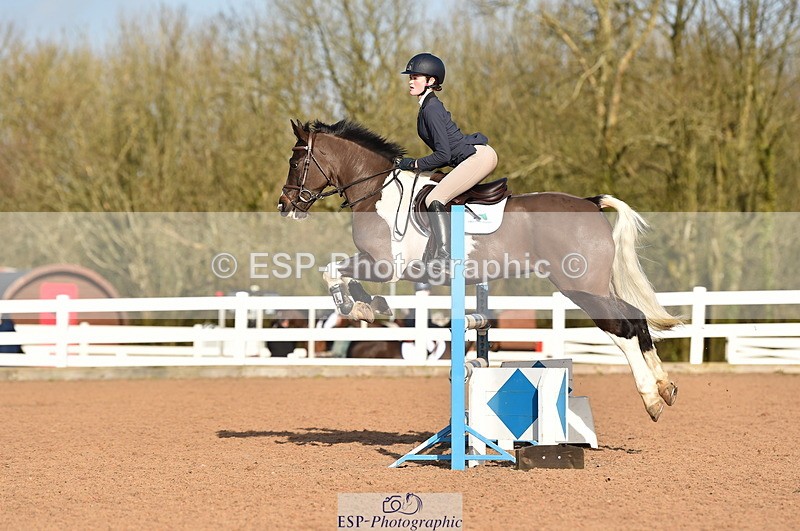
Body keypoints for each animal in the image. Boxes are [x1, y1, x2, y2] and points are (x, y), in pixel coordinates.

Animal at [277, 119, 681, 422]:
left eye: (296, 162)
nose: (285, 204)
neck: (376, 190)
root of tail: (589, 203)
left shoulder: (384, 265)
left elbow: (332, 271)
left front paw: (356, 306)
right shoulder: (376, 264)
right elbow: (340, 272)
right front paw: (369, 305)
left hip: (579, 287)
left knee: (622, 328)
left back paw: (651, 399)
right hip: (597, 286)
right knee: (637, 319)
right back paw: (665, 386)